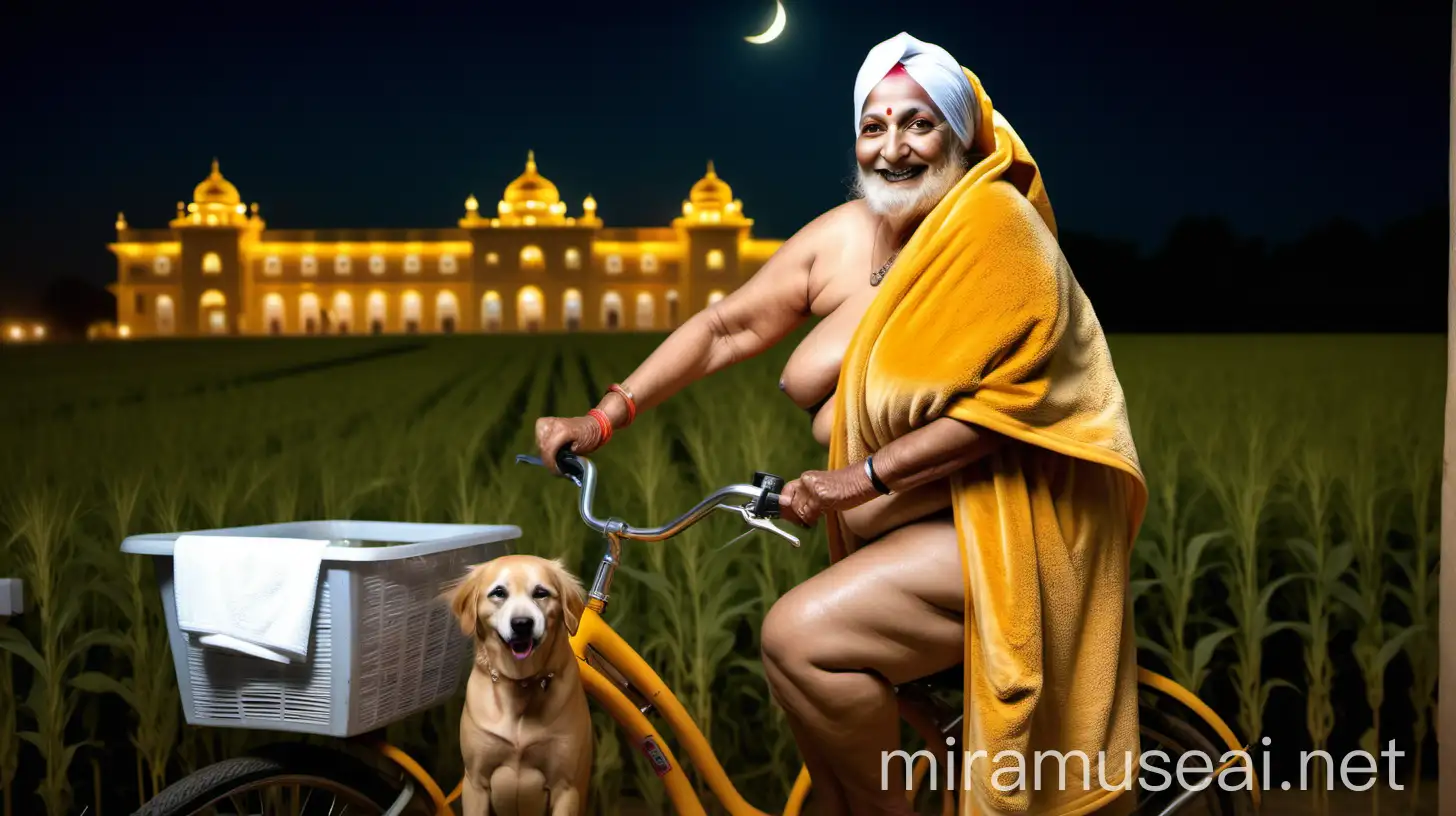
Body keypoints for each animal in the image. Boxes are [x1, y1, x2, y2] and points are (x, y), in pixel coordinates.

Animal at [448, 553, 596, 816]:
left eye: (541, 592)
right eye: (498, 592)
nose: (522, 623)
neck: (520, 682)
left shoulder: (565, 788)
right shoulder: (475, 782)